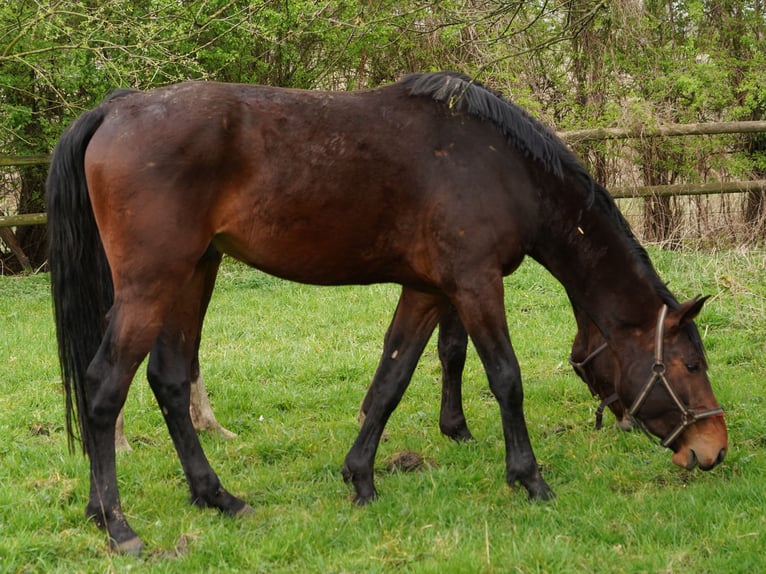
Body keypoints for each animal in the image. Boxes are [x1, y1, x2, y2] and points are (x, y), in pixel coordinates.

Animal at [45, 71, 728, 552]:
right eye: (690, 364)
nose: (713, 450)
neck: (500, 166)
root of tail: (117, 108)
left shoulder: (427, 291)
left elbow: (390, 382)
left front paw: (361, 479)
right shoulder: (475, 286)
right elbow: (505, 379)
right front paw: (529, 478)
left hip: (194, 274)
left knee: (169, 380)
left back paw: (217, 497)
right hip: (151, 284)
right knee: (105, 388)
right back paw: (116, 524)